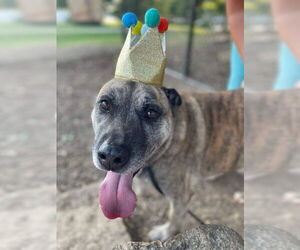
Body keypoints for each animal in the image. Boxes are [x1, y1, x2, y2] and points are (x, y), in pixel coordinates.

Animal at [91, 78, 244, 240]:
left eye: (151, 113)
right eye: (105, 104)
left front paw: (165, 232)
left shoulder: (181, 197)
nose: (111, 156)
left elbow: (174, 216)